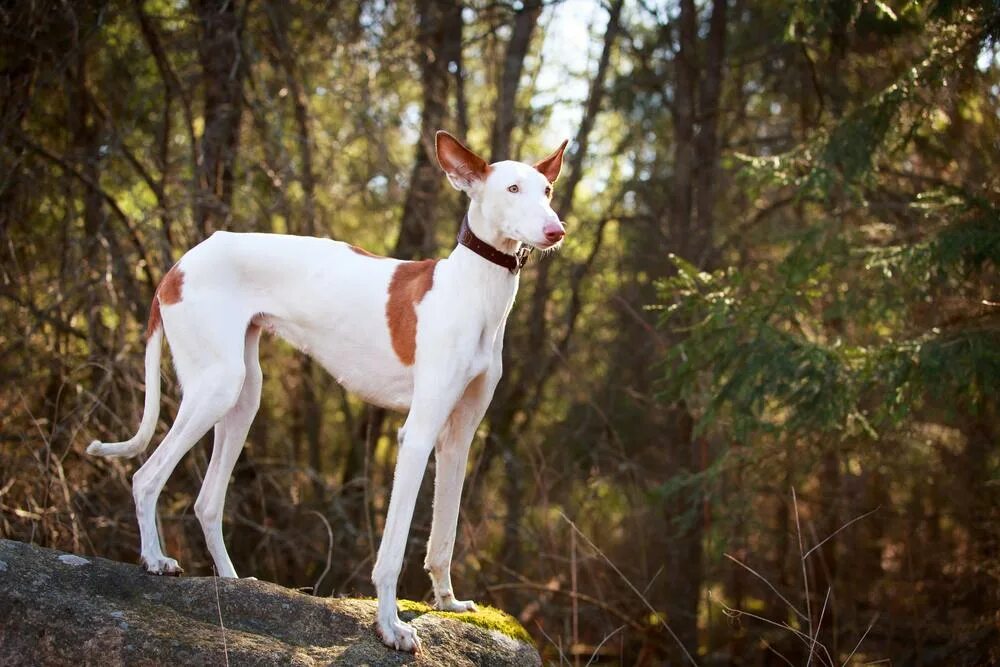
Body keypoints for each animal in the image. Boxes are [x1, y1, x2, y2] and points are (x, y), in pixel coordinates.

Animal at [89, 132, 568, 652]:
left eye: (547, 190)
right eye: (512, 189)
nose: (557, 230)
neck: (472, 289)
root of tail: (180, 263)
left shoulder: (457, 441)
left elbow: (444, 535)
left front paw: (446, 601)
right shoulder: (416, 436)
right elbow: (392, 551)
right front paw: (391, 627)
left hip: (243, 397)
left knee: (207, 500)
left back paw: (234, 582)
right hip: (215, 388)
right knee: (146, 477)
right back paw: (155, 560)